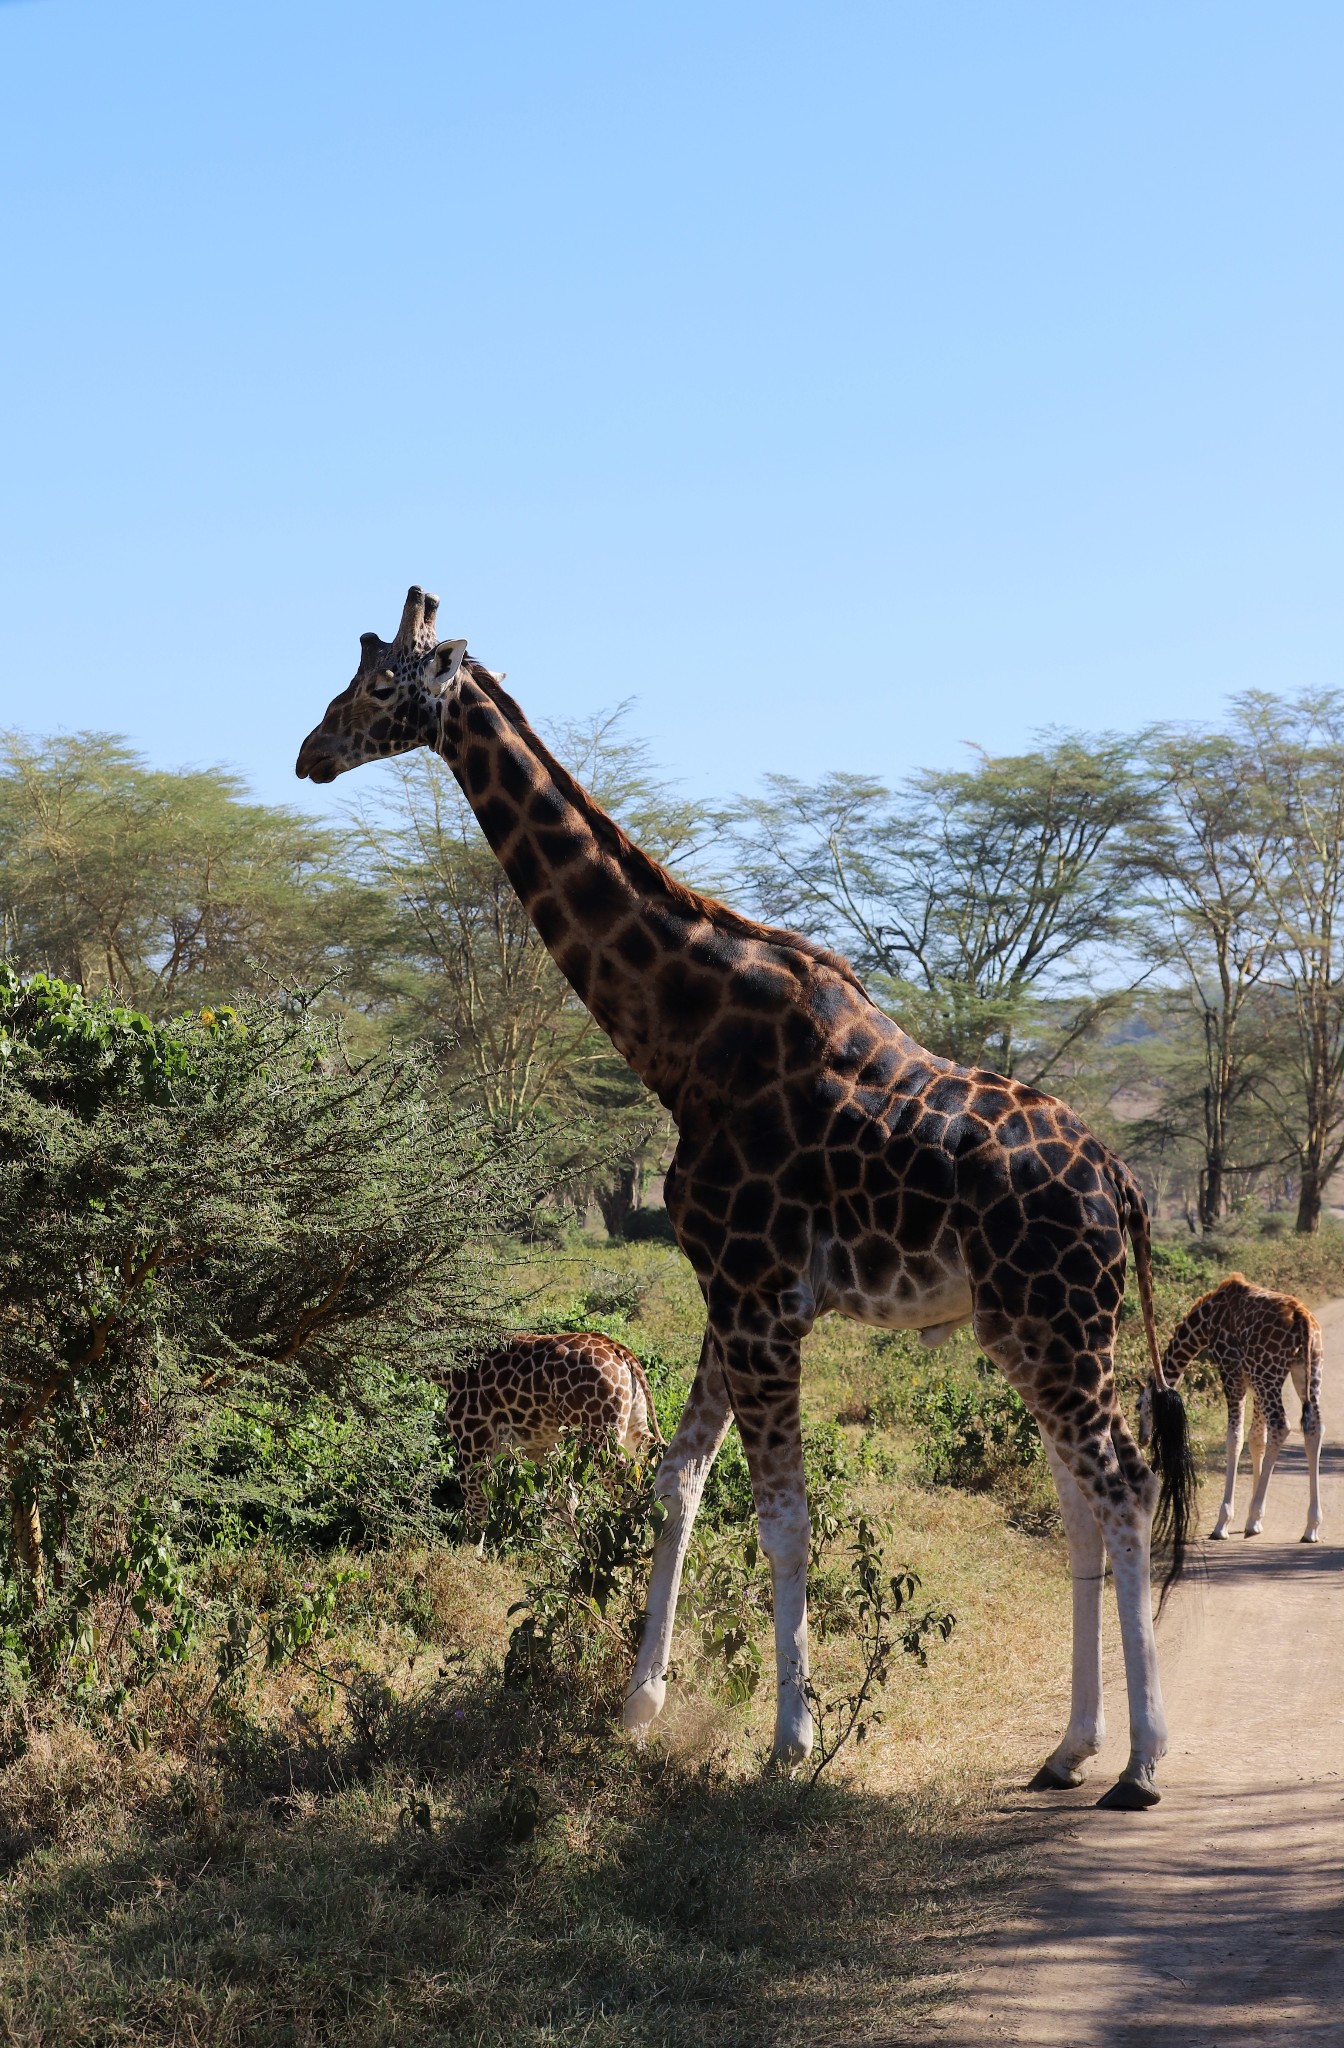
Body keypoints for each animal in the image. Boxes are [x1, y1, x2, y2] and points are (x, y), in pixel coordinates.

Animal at [446, 1327, 667, 1540]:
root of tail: (617, 1348)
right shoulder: (539, 1449)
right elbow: (569, 1503)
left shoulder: (473, 1448)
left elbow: (476, 1522)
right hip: (633, 1424)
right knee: (656, 1464)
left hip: (600, 1437)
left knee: (634, 1490)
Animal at [1147, 1269, 1319, 1540]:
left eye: (1139, 1406)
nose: (1142, 1437)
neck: (1206, 1321)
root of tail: (1302, 1318)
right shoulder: (1253, 1381)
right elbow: (1257, 1439)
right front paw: (1255, 1519)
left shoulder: (1232, 1372)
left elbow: (1234, 1438)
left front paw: (1226, 1521)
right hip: (1305, 1370)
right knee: (1314, 1429)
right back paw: (1311, 1527)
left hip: (1268, 1373)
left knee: (1281, 1426)